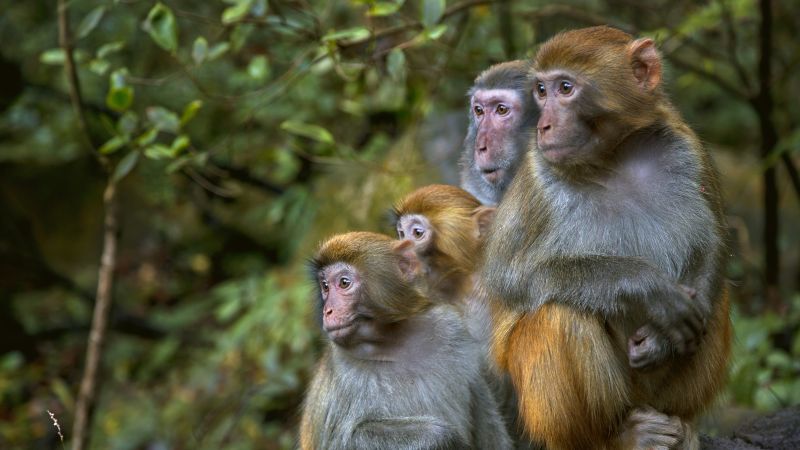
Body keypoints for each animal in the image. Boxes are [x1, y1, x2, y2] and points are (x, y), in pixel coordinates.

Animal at [299, 231, 512, 450]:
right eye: (325, 287)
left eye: (343, 283)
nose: (328, 311)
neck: (394, 340)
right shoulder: (343, 371)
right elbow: (341, 441)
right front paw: (441, 437)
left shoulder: (453, 330)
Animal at [482, 26, 732, 449]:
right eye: (541, 91)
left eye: (565, 88)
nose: (543, 126)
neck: (614, 158)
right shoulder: (536, 176)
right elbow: (510, 278)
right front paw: (647, 287)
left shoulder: (687, 147)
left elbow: (711, 245)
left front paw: (663, 339)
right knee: (560, 312)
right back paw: (614, 437)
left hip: (657, 393)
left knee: (714, 302)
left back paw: (680, 423)